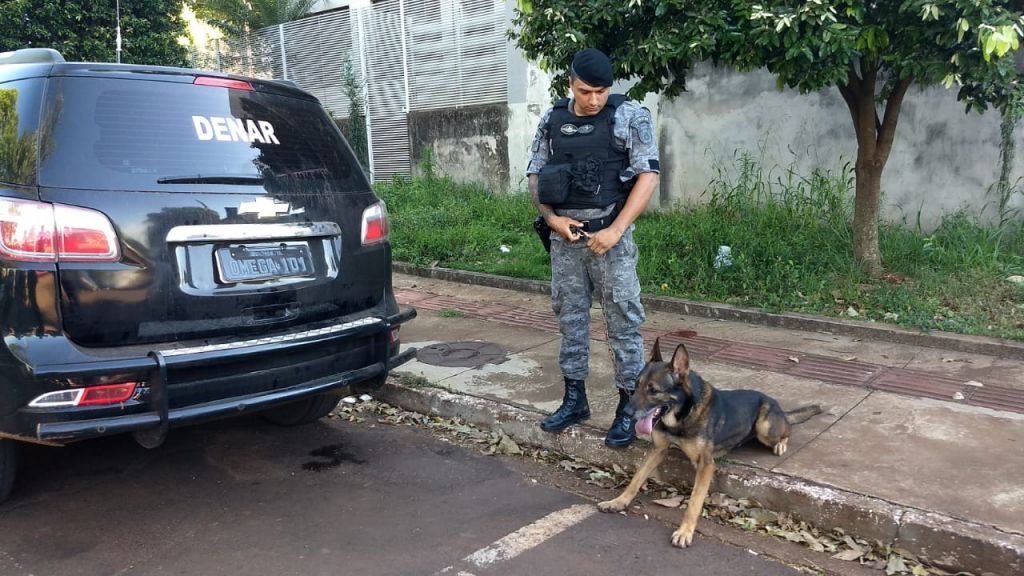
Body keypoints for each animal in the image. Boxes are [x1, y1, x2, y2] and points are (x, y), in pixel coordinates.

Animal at [598, 338, 819, 545]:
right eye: (636, 386)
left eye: (653, 391)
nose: (626, 413)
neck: (682, 415)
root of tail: (777, 405)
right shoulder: (658, 450)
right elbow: (636, 479)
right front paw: (618, 501)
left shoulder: (705, 464)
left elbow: (694, 502)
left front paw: (685, 532)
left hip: (764, 428)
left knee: (787, 429)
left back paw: (781, 443)